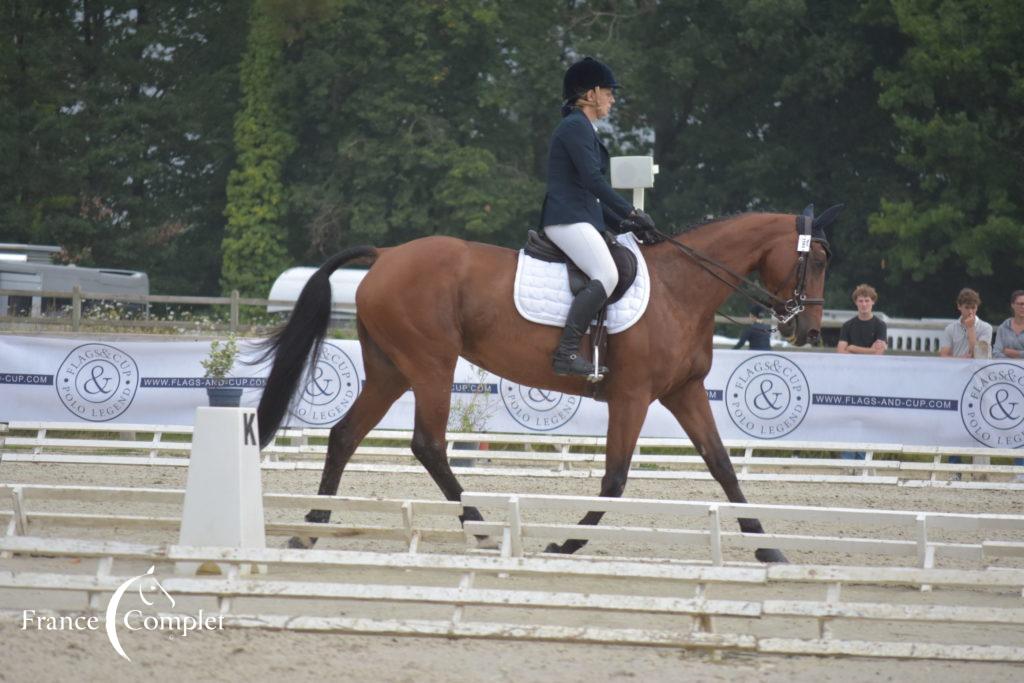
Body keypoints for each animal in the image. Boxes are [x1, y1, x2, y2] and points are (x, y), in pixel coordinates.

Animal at [256, 206, 839, 561]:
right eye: (817, 259)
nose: (809, 330)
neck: (682, 290)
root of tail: (385, 255)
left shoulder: (685, 392)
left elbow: (723, 467)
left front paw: (767, 548)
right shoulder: (632, 395)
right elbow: (616, 479)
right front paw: (566, 546)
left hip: (391, 369)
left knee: (345, 435)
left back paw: (314, 526)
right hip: (430, 365)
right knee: (428, 444)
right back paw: (482, 528)